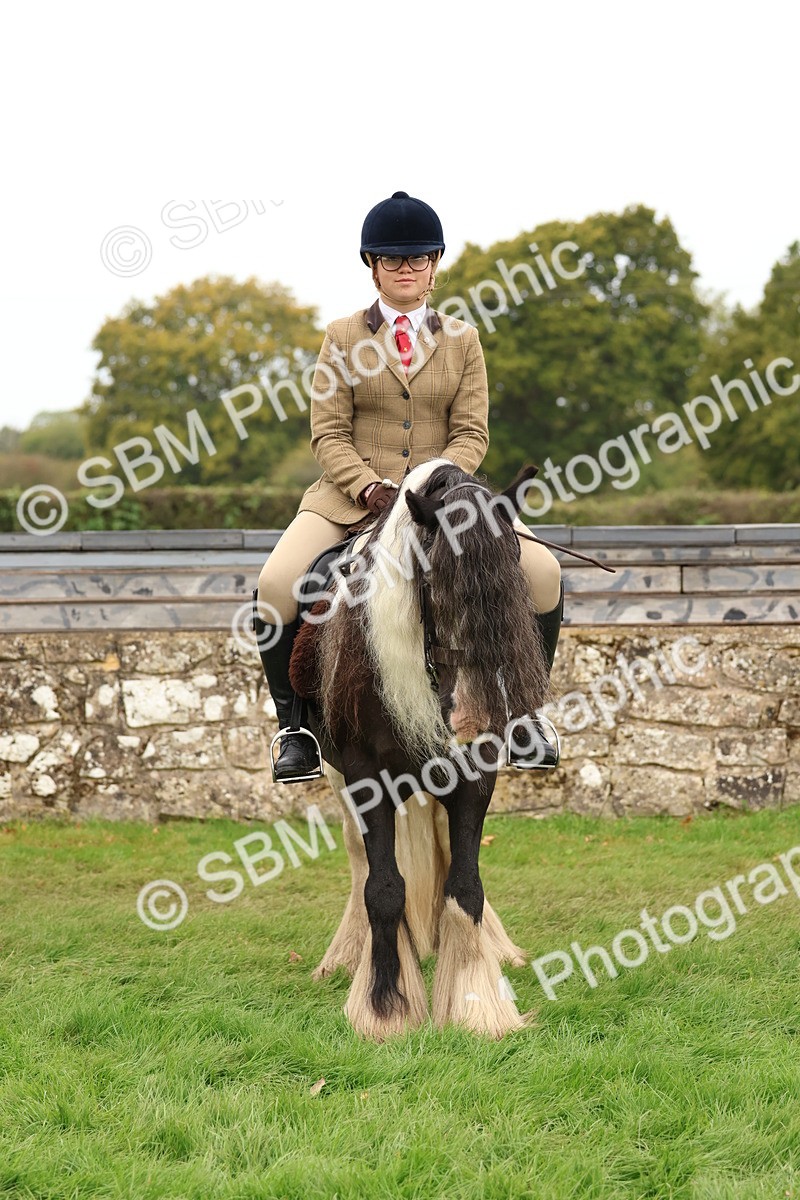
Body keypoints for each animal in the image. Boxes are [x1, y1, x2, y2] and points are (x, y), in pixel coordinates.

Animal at [288, 458, 553, 1041]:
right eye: (432, 579)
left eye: (514, 574)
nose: (477, 717)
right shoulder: (364, 774)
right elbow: (383, 889)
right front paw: (385, 1007)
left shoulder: (474, 771)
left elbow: (466, 887)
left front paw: (477, 1002)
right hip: (339, 778)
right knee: (360, 861)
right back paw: (350, 957)